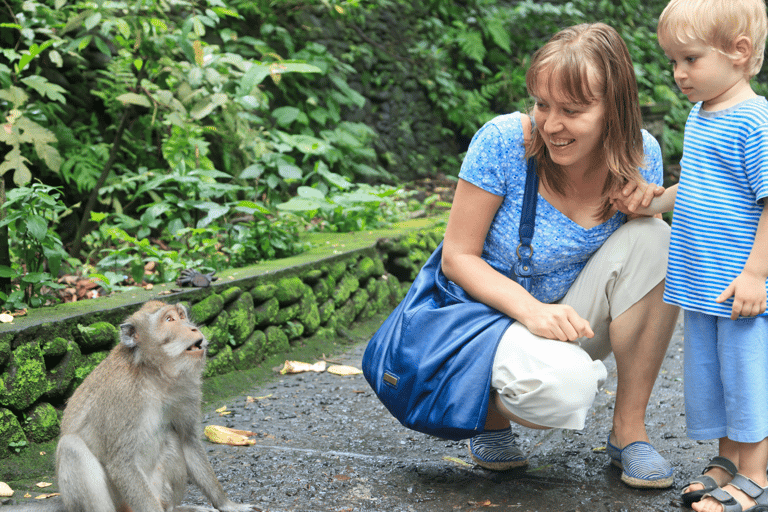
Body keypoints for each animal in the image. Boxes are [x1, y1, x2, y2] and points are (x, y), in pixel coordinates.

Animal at [7, 300, 259, 512]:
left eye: (181, 316)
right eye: (169, 320)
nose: (193, 329)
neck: (153, 374)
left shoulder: (186, 388)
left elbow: (187, 440)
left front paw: (227, 505)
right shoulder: (122, 394)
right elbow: (121, 463)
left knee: (171, 435)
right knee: (72, 447)